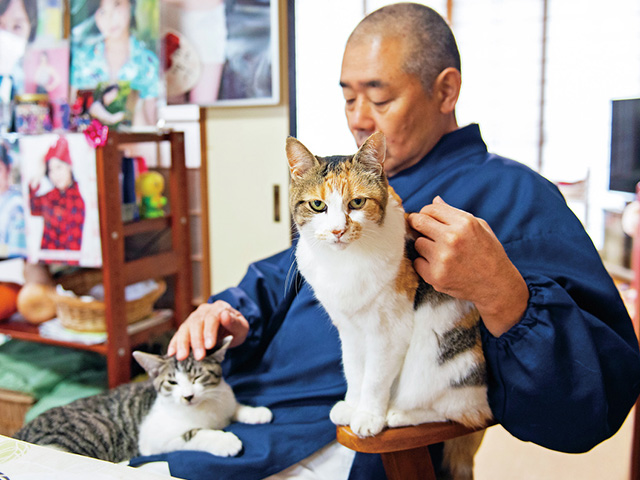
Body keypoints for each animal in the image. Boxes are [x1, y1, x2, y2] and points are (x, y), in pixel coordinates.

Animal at [15, 336, 270, 464]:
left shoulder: (223, 399)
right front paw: (225, 441)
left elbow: (234, 407)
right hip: (99, 428)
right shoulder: (152, 440)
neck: (208, 408)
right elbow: (194, 433)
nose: (188, 396)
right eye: (172, 382)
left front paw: (255, 412)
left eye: (198, 377)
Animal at [288, 132, 492, 480]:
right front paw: (352, 405)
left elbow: (374, 379)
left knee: (462, 412)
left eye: (357, 203)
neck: (344, 262)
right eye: (318, 205)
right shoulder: (349, 330)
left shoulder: (389, 331)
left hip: (441, 363)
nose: (338, 230)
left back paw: (399, 415)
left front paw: (368, 416)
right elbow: (354, 371)